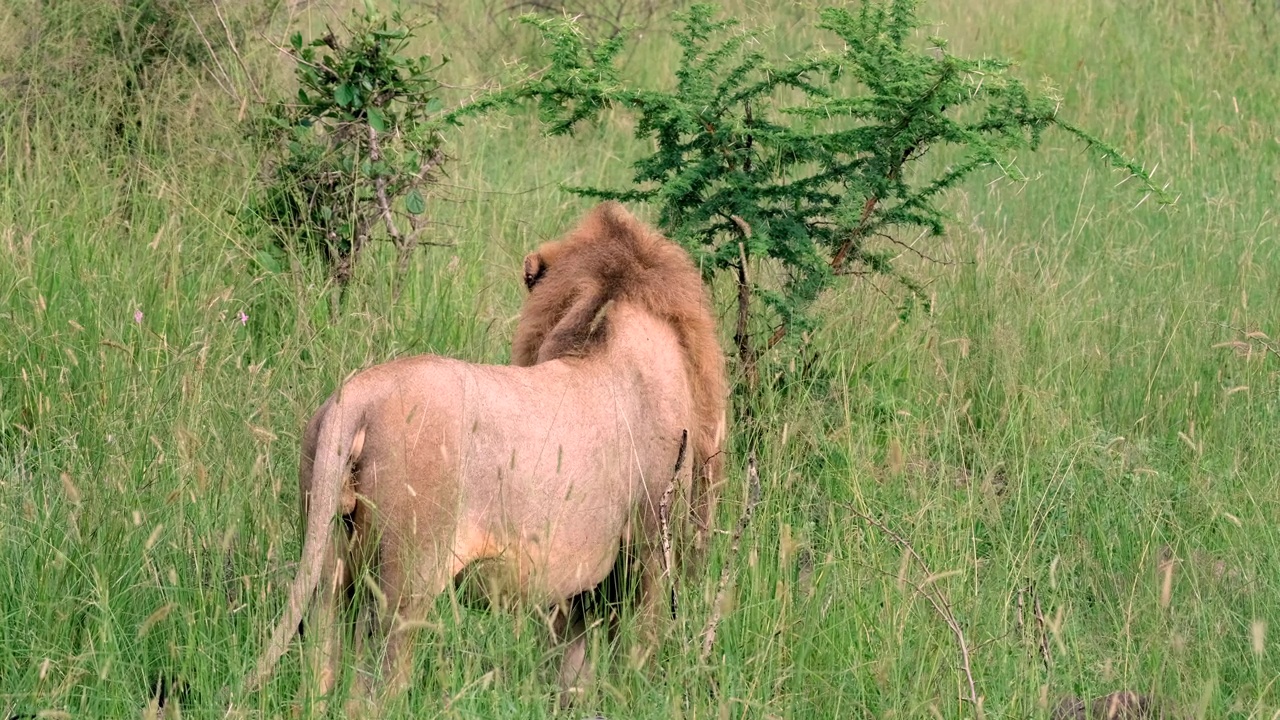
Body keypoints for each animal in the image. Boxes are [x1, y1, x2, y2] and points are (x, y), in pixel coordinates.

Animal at [247, 202, 732, 707]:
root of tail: (355, 399)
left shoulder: (572, 586)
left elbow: (569, 672)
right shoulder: (648, 551)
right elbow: (640, 651)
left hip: (328, 564)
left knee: (320, 667)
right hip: (406, 580)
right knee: (377, 688)